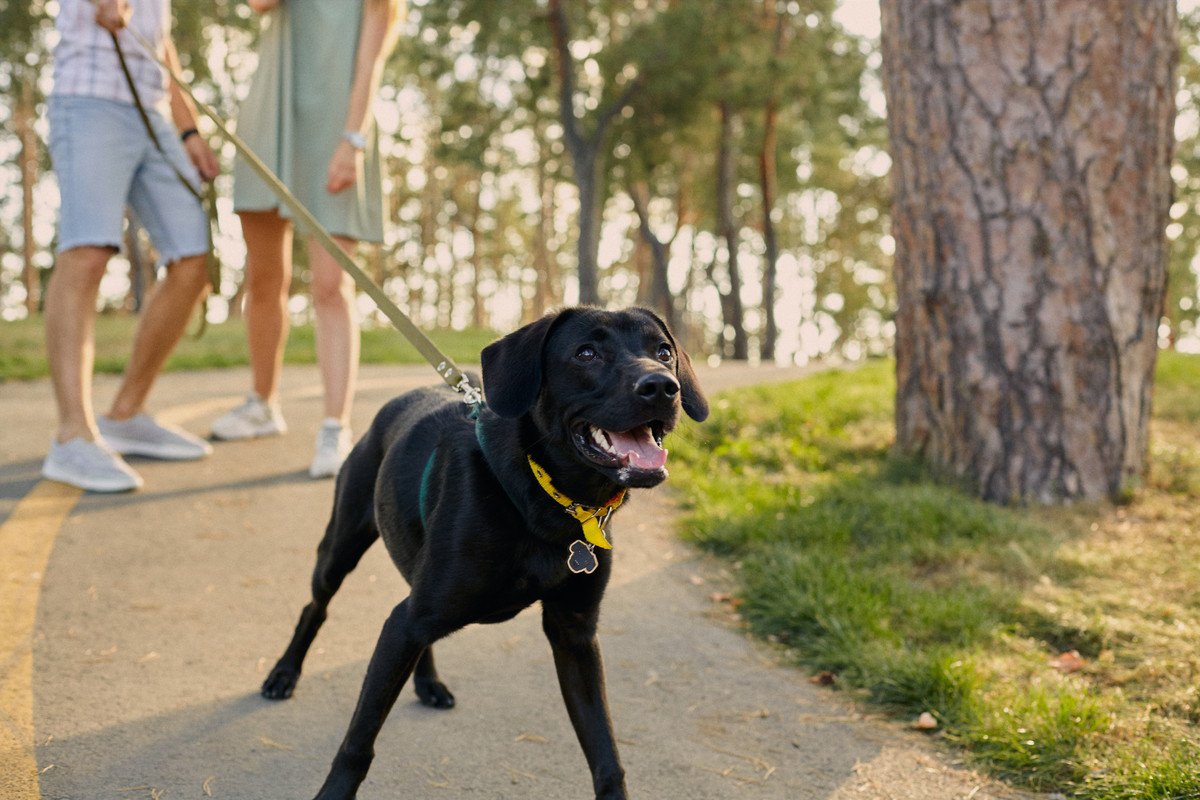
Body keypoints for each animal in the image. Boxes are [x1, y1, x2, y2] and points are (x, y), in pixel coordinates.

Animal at [260, 309, 700, 800]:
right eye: (586, 352)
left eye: (663, 351)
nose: (662, 386)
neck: (545, 501)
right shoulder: (404, 623)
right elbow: (358, 742)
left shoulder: (575, 634)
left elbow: (606, 753)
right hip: (341, 548)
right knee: (315, 607)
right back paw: (283, 674)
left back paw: (428, 682)